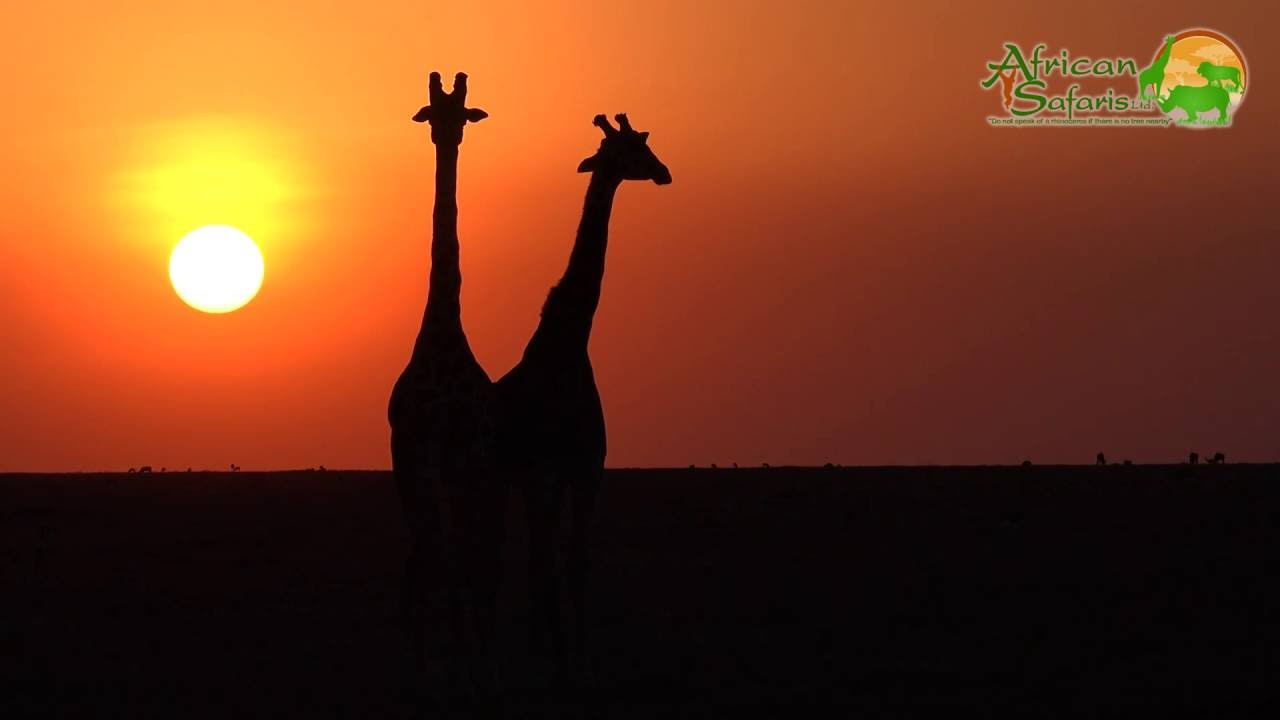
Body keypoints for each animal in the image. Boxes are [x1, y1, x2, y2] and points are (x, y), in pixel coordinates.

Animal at [495, 113, 671, 681]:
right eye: (626, 150)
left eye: (644, 142)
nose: (663, 172)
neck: (568, 346)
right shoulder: (539, 465)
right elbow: (548, 556)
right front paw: (557, 653)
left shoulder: (586, 466)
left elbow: (577, 559)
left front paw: (577, 652)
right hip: (507, 473)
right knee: (516, 547)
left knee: (539, 545)